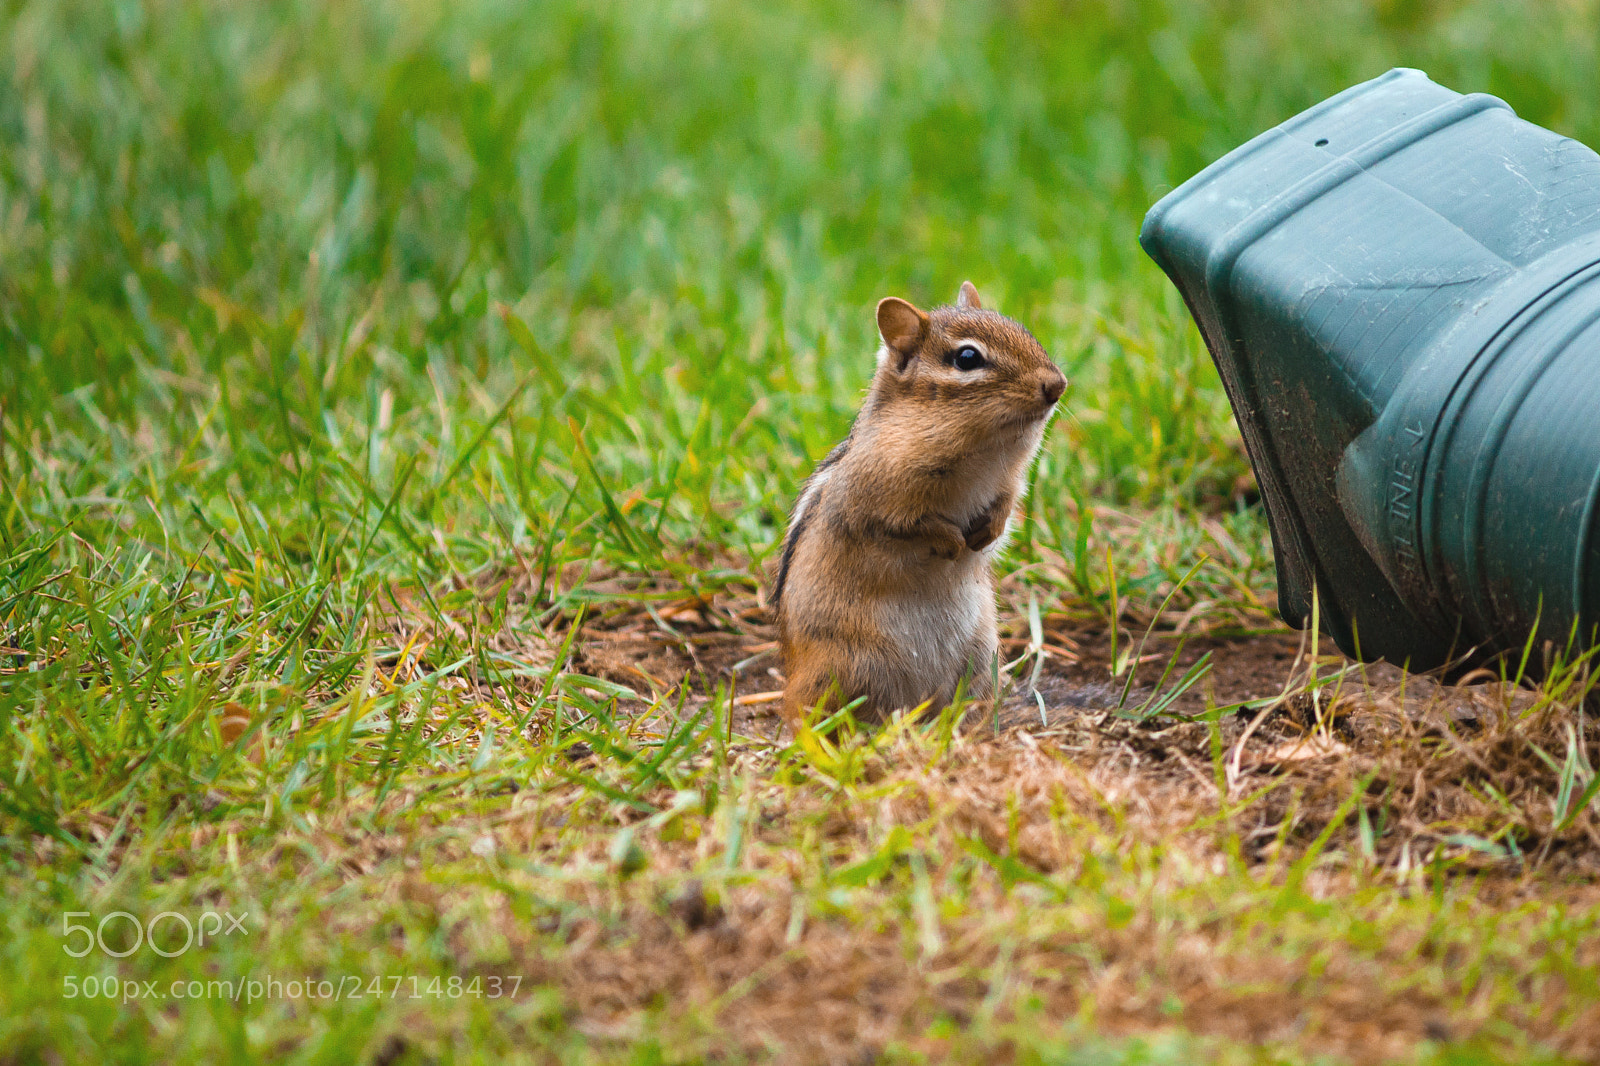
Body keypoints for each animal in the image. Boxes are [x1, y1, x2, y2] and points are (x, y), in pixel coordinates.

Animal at [772, 281, 1067, 727]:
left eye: (1026, 332)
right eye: (967, 358)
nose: (1057, 385)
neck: (985, 454)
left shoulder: (1009, 483)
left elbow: (1004, 509)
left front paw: (986, 532)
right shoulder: (874, 501)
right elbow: (907, 526)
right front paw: (952, 542)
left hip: (981, 658)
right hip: (850, 667)